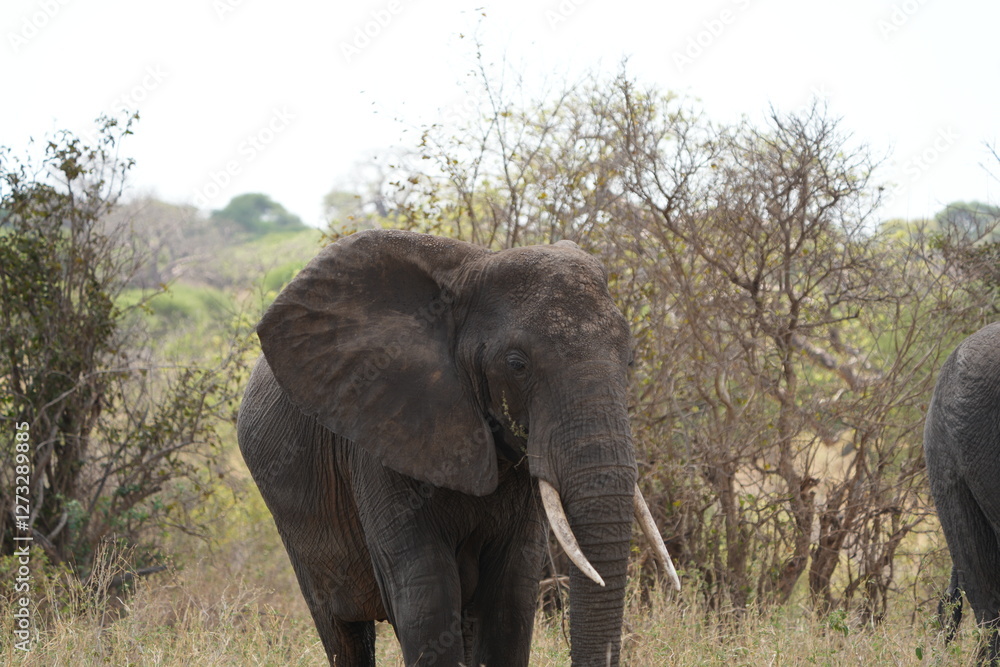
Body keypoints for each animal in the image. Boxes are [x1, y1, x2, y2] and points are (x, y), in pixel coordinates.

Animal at [237, 229, 679, 666]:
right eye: (517, 364)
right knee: (342, 632)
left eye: (630, 360)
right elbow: (427, 595)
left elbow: (510, 600)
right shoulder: (384, 430)